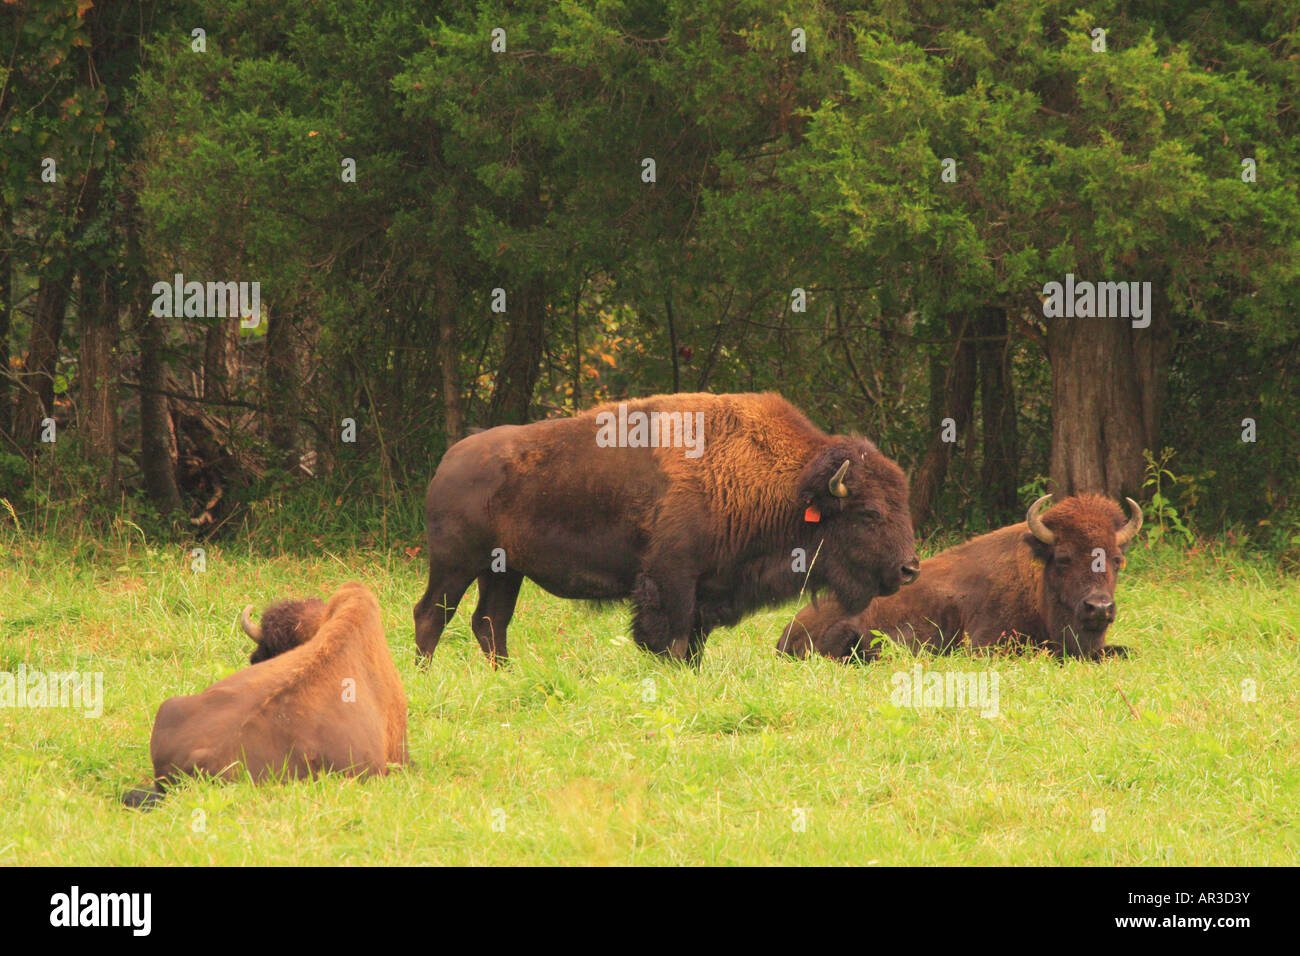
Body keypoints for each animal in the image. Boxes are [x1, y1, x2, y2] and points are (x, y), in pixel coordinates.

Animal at [414, 392, 919, 664]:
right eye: (869, 513)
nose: (910, 569)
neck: (787, 484)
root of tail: (448, 461)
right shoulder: (672, 580)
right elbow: (670, 641)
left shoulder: (706, 591)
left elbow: (693, 644)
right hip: (455, 564)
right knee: (432, 615)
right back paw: (424, 677)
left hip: (503, 571)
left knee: (490, 623)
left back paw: (508, 675)